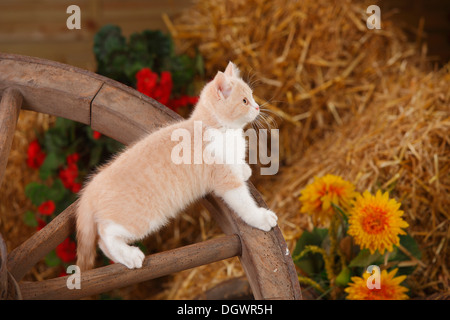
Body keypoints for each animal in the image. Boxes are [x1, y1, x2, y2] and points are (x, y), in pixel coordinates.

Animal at [75, 62, 276, 270]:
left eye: (252, 96)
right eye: (244, 101)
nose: (257, 106)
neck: (216, 128)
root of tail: (91, 187)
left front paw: (243, 169)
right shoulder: (225, 180)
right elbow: (244, 203)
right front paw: (260, 218)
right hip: (142, 217)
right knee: (105, 236)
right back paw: (129, 255)